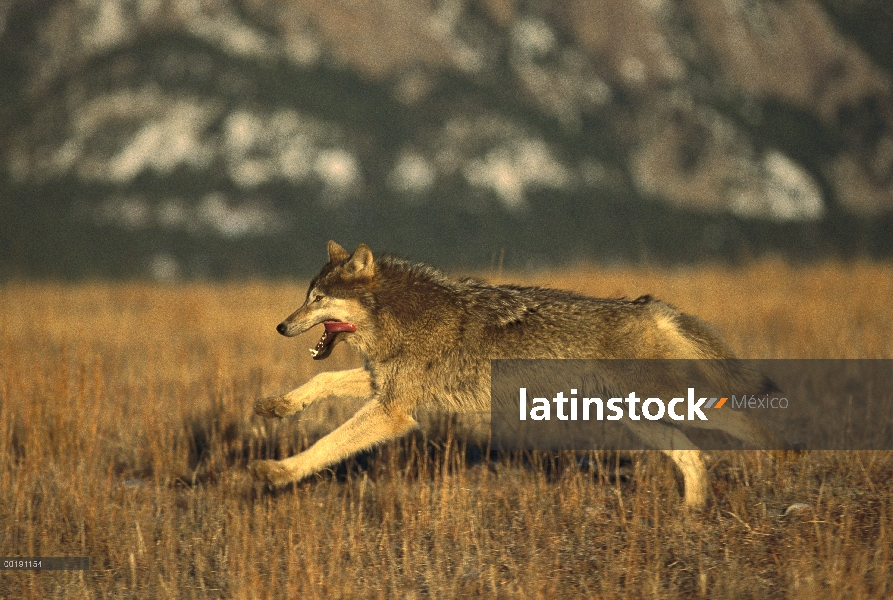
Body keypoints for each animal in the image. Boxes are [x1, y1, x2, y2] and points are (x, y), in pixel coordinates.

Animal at [246, 241, 780, 508]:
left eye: (316, 299)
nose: (281, 326)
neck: (399, 316)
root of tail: (649, 306)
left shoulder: (392, 410)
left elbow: (326, 445)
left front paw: (276, 471)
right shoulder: (385, 385)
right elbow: (319, 383)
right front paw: (276, 406)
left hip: (672, 405)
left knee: (749, 421)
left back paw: (782, 459)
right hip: (640, 419)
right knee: (694, 456)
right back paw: (691, 516)